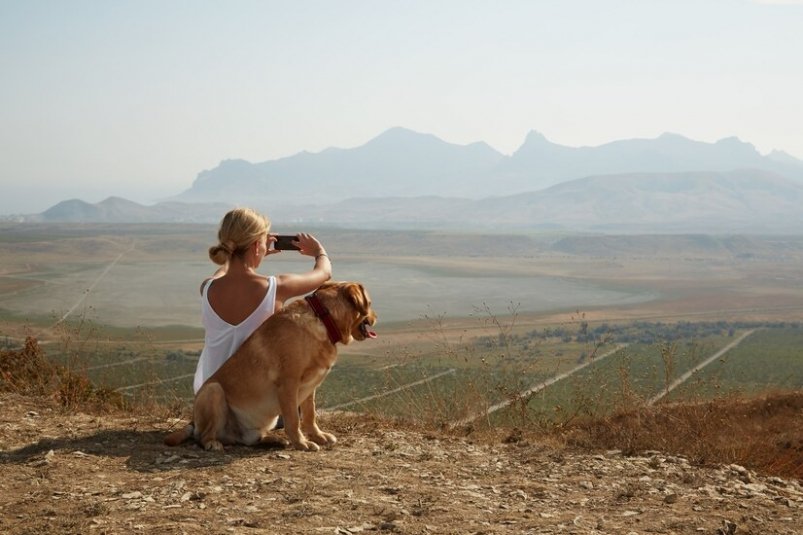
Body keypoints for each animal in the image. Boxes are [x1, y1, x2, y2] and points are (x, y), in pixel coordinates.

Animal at [165, 280, 378, 452]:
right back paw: (212, 443)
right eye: (369, 303)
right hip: (213, 390)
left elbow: (310, 415)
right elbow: (293, 420)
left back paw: (274, 440)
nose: (375, 317)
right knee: (203, 435)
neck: (323, 318)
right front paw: (302, 443)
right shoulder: (289, 384)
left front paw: (318, 436)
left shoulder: (311, 387)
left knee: (248, 440)